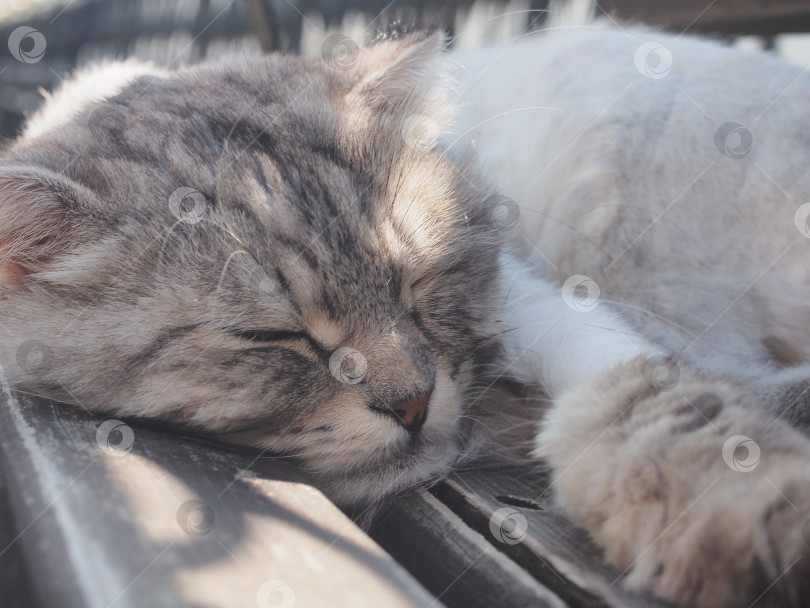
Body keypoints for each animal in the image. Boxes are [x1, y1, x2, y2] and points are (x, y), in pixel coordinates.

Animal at [4, 22, 808, 608]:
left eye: (415, 283)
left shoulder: (531, 297)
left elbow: (638, 389)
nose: (414, 405)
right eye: (273, 335)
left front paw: (731, 496)